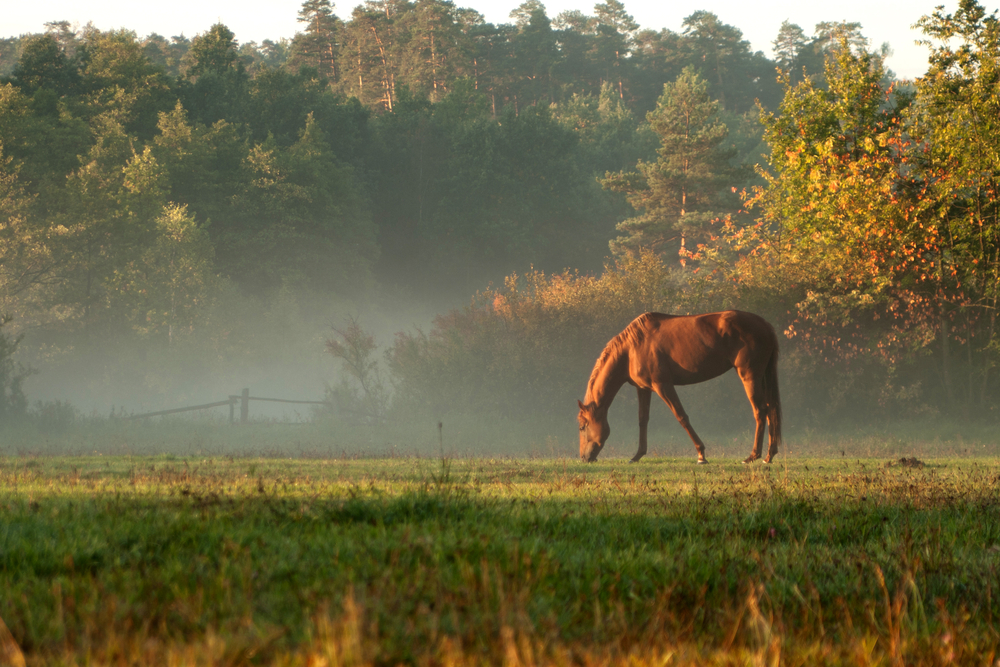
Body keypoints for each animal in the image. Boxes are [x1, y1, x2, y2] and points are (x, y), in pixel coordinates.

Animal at [577, 311, 781, 464]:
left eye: (582, 426)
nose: (584, 458)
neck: (632, 349)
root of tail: (766, 325)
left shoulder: (663, 385)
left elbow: (681, 416)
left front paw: (701, 455)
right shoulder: (644, 389)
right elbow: (643, 420)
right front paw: (637, 455)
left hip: (750, 377)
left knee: (760, 411)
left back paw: (753, 456)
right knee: (770, 410)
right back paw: (769, 455)